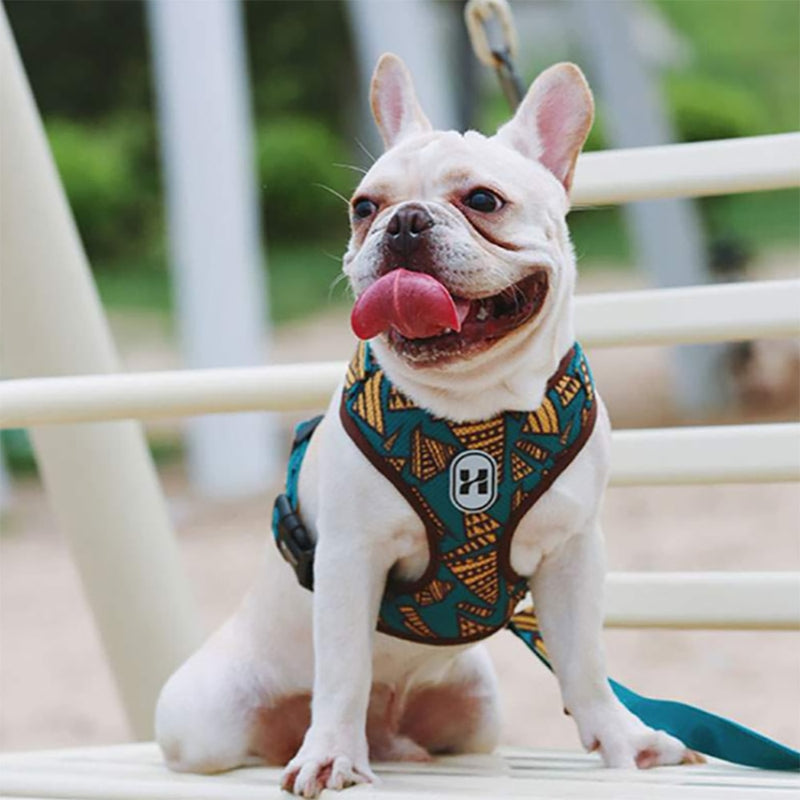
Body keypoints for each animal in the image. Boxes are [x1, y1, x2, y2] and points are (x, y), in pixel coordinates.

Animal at [155, 54, 692, 792]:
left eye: (483, 201)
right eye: (364, 208)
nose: (405, 221)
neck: (474, 410)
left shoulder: (574, 553)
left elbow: (584, 661)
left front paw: (623, 741)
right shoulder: (350, 558)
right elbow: (344, 668)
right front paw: (330, 755)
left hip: (478, 711)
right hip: (200, 718)